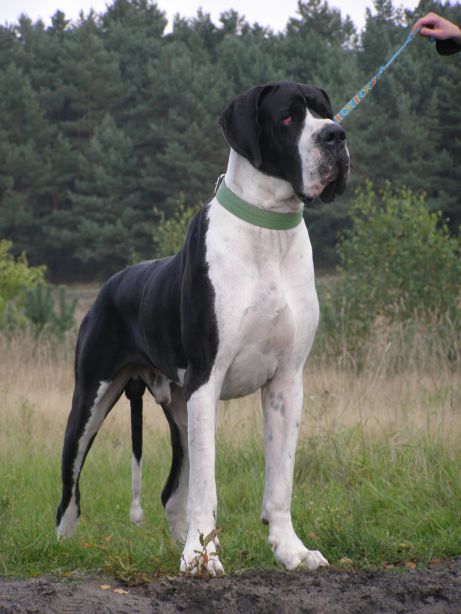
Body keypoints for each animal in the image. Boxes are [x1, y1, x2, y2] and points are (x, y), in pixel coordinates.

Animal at [56, 81, 350, 575]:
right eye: (288, 117)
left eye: (325, 111)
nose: (335, 135)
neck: (268, 229)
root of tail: (111, 284)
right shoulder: (206, 378)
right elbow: (207, 488)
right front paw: (201, 555)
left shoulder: (286, 383)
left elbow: (280, 480)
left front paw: (290, 550)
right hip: (92, 400)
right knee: (70, 491)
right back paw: (68, 547)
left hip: (179, 407)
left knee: (172, 494)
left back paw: (186, 545)